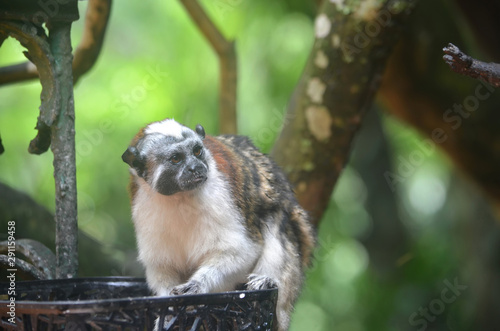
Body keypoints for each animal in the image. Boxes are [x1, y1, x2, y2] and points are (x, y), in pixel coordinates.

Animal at [121, 118, 314, 330]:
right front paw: (169, 313)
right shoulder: (143, 207)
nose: (195, 168)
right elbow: (163, 267)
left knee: (276, 221)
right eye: (176, 159)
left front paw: (197, 286)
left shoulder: (221, 195)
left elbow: (242, 252)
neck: (180, 197)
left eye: (197, 151)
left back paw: (268, 283)